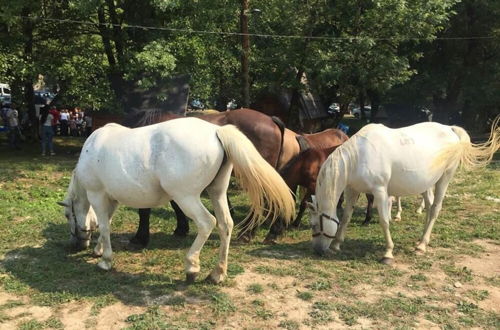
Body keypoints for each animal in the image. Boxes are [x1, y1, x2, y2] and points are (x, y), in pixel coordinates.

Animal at [59, 116, 292, 284]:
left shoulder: (97, 194)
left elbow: (105, 226)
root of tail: (216, 131)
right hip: (217, 193)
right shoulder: (113, 198)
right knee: (225, 224)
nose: (75, 244)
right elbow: (106, 221)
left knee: (207, 223)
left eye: (68, 214)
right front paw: (99, 249)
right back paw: (217, 274)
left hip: (186, 197)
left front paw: (105, 260)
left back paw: (192, 267)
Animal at [310, 117, 498, 264]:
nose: (318, 250)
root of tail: (450, 129)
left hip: (445, 178)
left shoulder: (380, 191)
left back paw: (422, 245)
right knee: (429, 207)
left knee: (435, 209)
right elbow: (345, 218)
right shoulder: (352, 190)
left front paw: (388, 253)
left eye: (314, 225)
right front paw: (336, 245)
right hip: (427, 183)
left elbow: (384, 221)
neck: (359, 156)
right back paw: (421, 241)